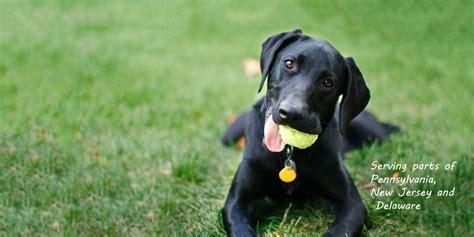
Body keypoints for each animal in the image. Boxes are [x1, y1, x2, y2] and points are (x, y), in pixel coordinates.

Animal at [220, 30, 398, 237]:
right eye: (289, 63)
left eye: (328, 82)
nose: (291, 113)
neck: (289, 152)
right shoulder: (237, 202)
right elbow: (241, 229)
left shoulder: (353, 205)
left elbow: (338, 231)